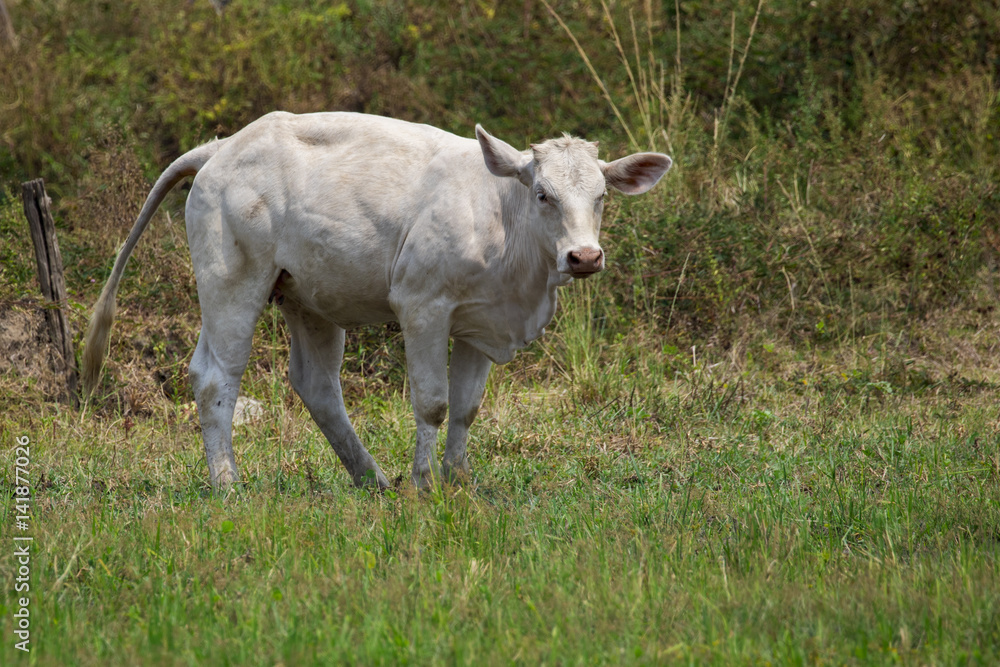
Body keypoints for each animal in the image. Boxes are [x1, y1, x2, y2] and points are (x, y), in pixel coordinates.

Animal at [82, 112, 672, 490]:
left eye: (601, 196)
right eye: (543, 194)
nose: (584, 256)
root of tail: (223, 145)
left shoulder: (480, 322)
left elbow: (467, 408)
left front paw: (458, 483)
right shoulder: (422, 307)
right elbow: (433, 402)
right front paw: (424, 484)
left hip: (306, 298)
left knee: (316, 385)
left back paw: (372, 479)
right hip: (231, 282)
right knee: (214, 378)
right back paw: (229, 486)